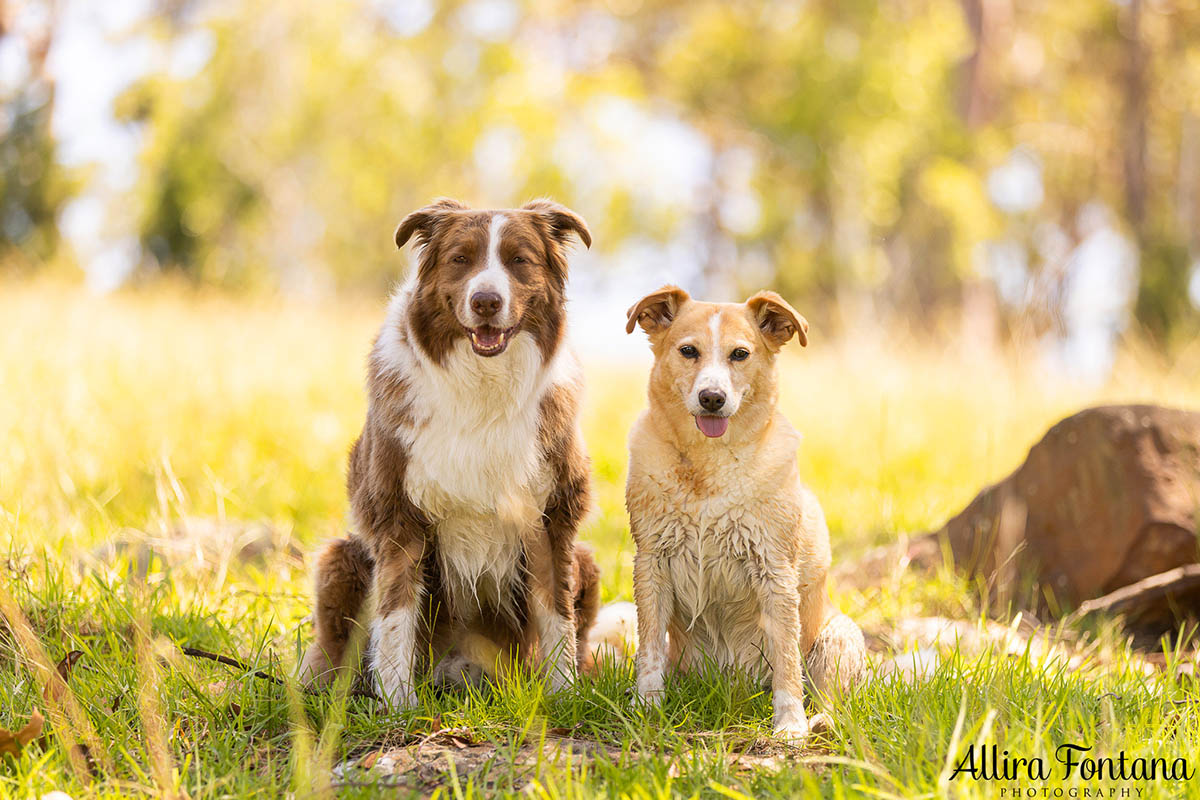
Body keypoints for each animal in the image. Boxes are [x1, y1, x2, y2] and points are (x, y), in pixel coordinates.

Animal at [300, 199, 600, 705]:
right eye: (461, 259)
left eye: (519, 260)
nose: (486, 302)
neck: (483, 387)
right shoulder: (398, 516)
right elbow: (396, 617)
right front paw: (397, 704)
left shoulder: (552, 518)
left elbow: (556, 613)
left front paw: (564, 697)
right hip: (340, 559)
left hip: (588, 563)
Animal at [624, 286, 868, 738]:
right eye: (688, 351)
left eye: (740, 354)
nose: (712, 398)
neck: (709, 467)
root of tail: (735, 690)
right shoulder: (651, 563)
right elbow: (648, 651)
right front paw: (646, 709)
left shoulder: (775, 569)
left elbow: (787, 660)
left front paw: (790, 724)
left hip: (839, 639)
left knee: (830, 697)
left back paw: (819, 720)